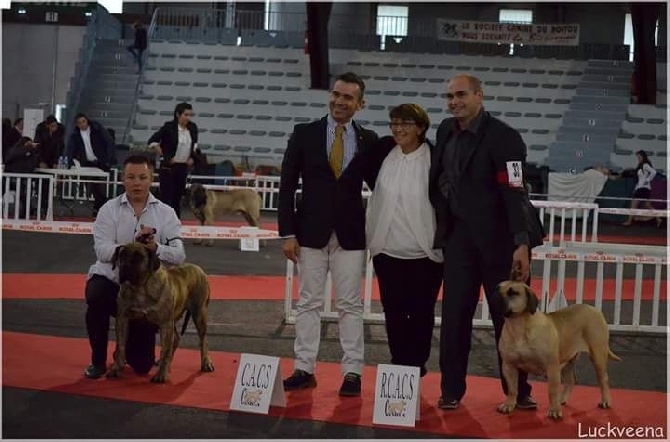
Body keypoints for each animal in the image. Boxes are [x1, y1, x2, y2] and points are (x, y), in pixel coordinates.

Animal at [106, 242, 215, 384]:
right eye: (122, 255)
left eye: (138, 257)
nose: (125, 265)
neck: (140, 288)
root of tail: (199, 269)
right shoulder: (122, 319)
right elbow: (120, 346)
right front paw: (116, 369)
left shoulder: (165, 323)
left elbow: (165, 349)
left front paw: (161, 375)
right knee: (176, 339)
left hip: (199, 314)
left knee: (203, 340)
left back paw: (206, 363)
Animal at [496, 272, 624, 422]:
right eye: (496, 289)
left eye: (513, 293)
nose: (496, 295)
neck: (518, 326)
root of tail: (594, 310)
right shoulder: (508, 365)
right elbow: (512, 389)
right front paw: (509, 405)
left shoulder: (551, 367)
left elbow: (552, 391)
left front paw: (554, 411)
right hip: (567, 359)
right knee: (570, 380)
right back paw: (562, 400)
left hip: (597, 356)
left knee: (603, 379)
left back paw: (605, 401)